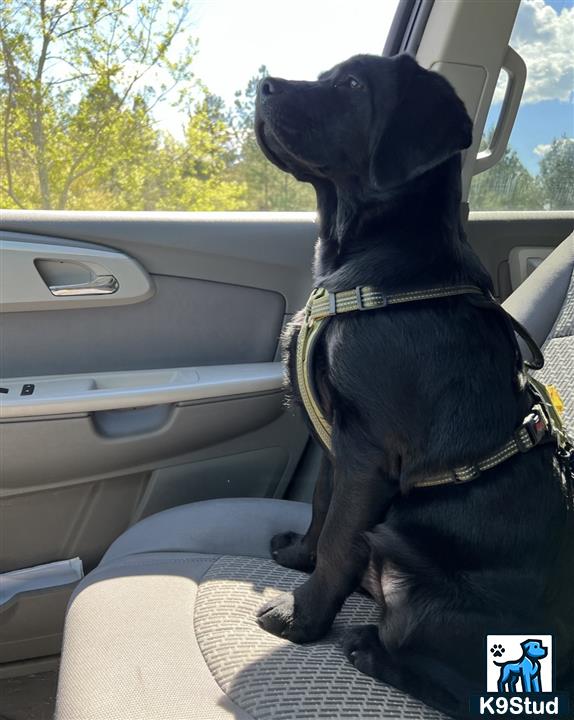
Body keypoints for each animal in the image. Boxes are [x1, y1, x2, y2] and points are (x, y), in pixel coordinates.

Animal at [254, 53, 574, 716]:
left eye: (352, 84)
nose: (261, 86)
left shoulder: (370, 452)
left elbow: (340, 538)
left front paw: (300, 620)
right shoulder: (341, 449)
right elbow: (322, 511)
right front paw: (296, 557)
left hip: (431, 604)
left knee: (465, 689)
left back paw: (369, 649)